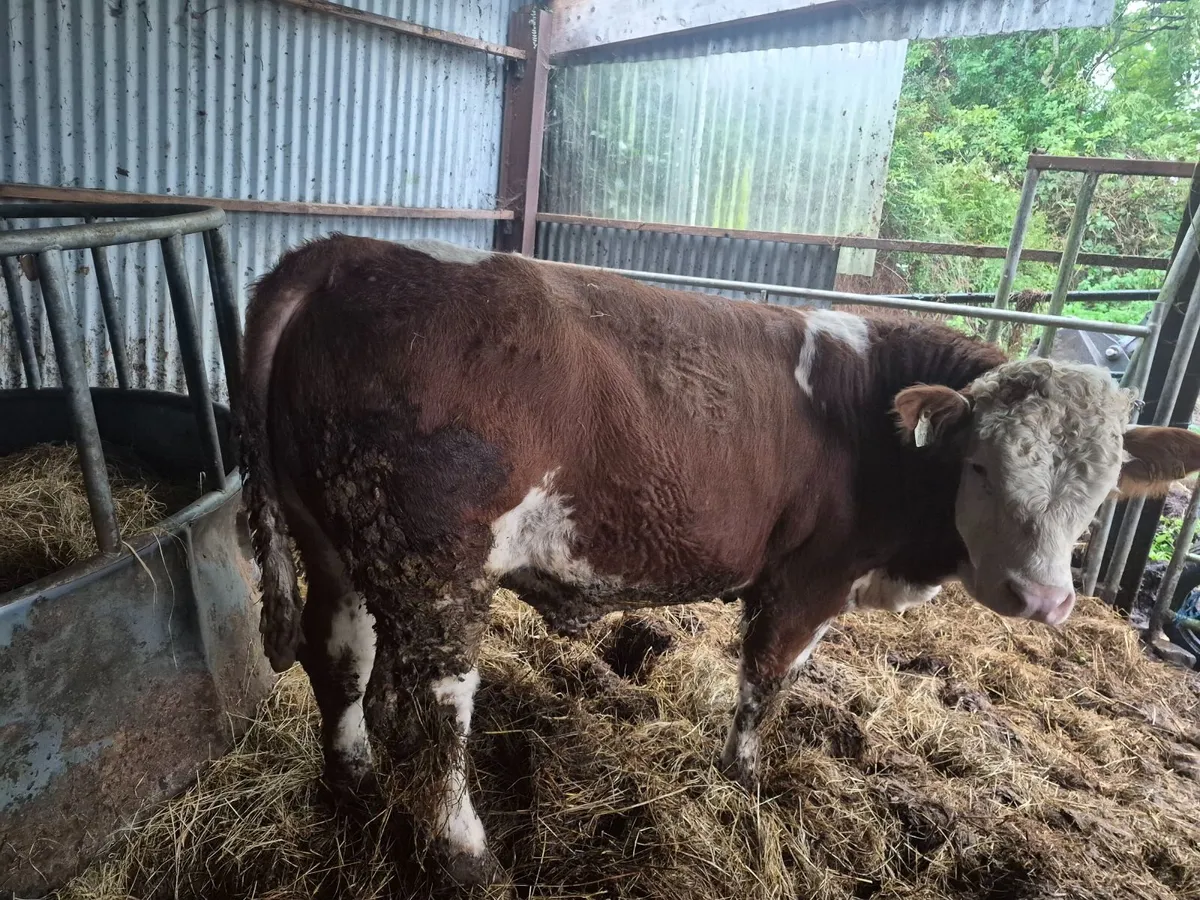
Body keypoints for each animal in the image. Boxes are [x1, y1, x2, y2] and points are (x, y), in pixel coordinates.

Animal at [238, 234, 1200, 885]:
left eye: (1103, 486)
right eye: (981, 464)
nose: (1041, 598)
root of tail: (341, 254)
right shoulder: (808, 579)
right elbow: (765, 684)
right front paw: (744, 781)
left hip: (334, 542)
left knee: (338, 656)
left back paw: (352, 778)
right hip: (439, 569)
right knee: (437, 713)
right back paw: (466, 854)